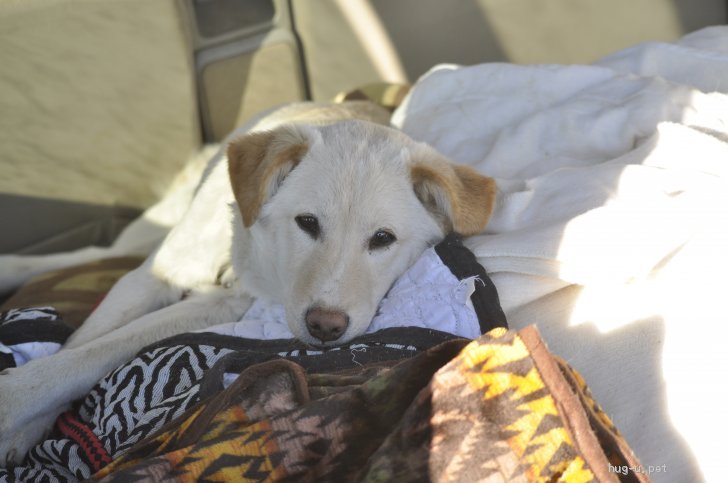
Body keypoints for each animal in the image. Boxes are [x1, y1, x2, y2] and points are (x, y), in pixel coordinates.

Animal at [0, 101, 496, 465]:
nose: (325, 327)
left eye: (382, 239)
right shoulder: (153, 276)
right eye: (307, 223)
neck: (251, 248)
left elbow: (98, 351)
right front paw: (20, 410)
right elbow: (82, 346)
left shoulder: (224, 304)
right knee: (91, 254)